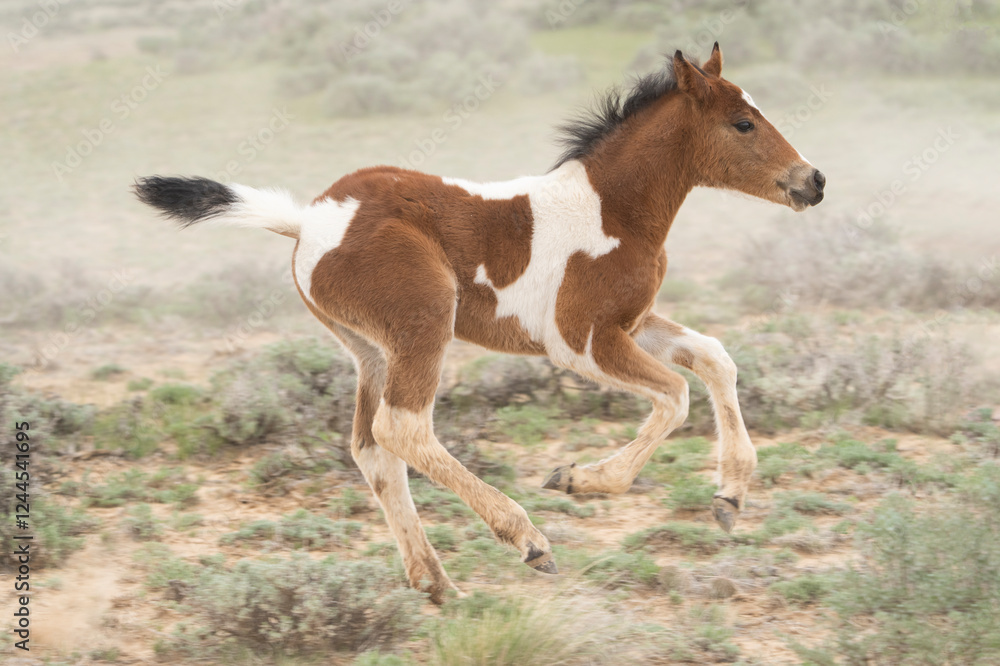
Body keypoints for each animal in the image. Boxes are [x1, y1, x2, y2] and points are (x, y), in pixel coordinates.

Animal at [134, 44, 825, 603]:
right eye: (742, 122)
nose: (812, 181)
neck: (613, 210)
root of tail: (308, 221)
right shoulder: (581, 340)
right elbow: (677, 394)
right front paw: (580, 479)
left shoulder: (630, 324)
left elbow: (714, 357)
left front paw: (730, 498)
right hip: (423, 326)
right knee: (403, 428)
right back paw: (527, 539)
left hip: (371, 351)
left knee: (371, 448)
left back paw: (436, 583)